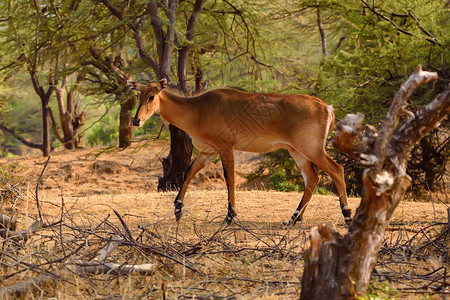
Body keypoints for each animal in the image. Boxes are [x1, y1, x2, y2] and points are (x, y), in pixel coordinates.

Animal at [125, 79, 352, 225]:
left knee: (337, 170)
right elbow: (189, 172)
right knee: (312, 178)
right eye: (138, 95)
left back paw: (347, 215)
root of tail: (327, 107)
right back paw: (294, 218)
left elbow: (230, 179)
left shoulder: (226, 147)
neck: (197, 110)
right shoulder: (208, 151)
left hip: (312, 149)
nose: (136, 120)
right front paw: (178, 209)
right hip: (297, 151)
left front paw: (230, 215)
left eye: (152, 96)